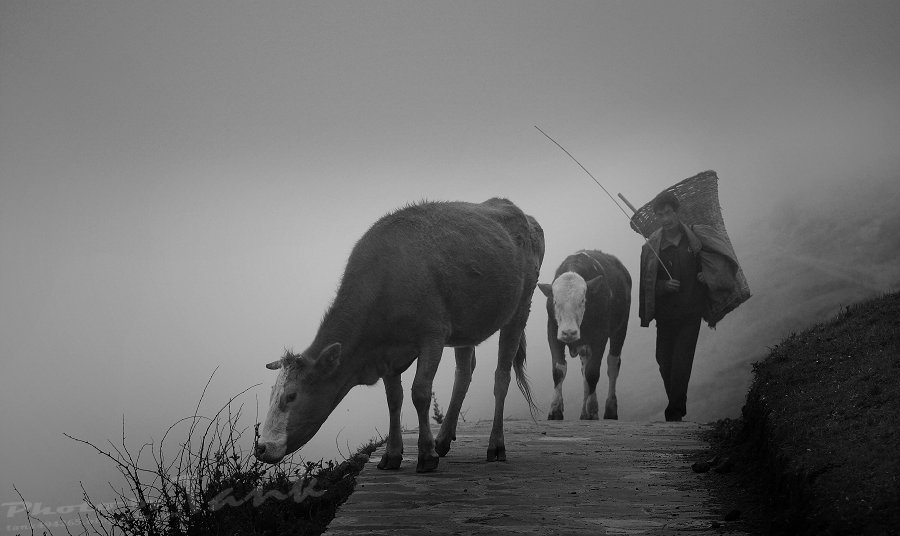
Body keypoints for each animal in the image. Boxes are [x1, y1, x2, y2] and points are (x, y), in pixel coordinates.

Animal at [256, 198, 544, 474]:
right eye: (271, 394)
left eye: (291, 395)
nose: (261, 447)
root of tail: (516, 210)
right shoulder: (387, 353)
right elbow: (394, 399)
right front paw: (392, 455)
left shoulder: (433, 335)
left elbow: (420, 393)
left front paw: (426, 455)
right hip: (468, 325)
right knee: (463, 374)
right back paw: (443, 439)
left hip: (521, 307)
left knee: (501, 376)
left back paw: (495, 445)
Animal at [536, 249, 628, 420]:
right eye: (555, 301)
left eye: (583, 300)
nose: (569, 332)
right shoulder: (553, 333)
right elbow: (559, 370)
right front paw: (555, 409)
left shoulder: (600, 337)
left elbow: (593, 372)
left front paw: (592, 410)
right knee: (584, 369)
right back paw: (584, 412)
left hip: (620, 329)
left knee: (612, 365)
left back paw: (610, 409)